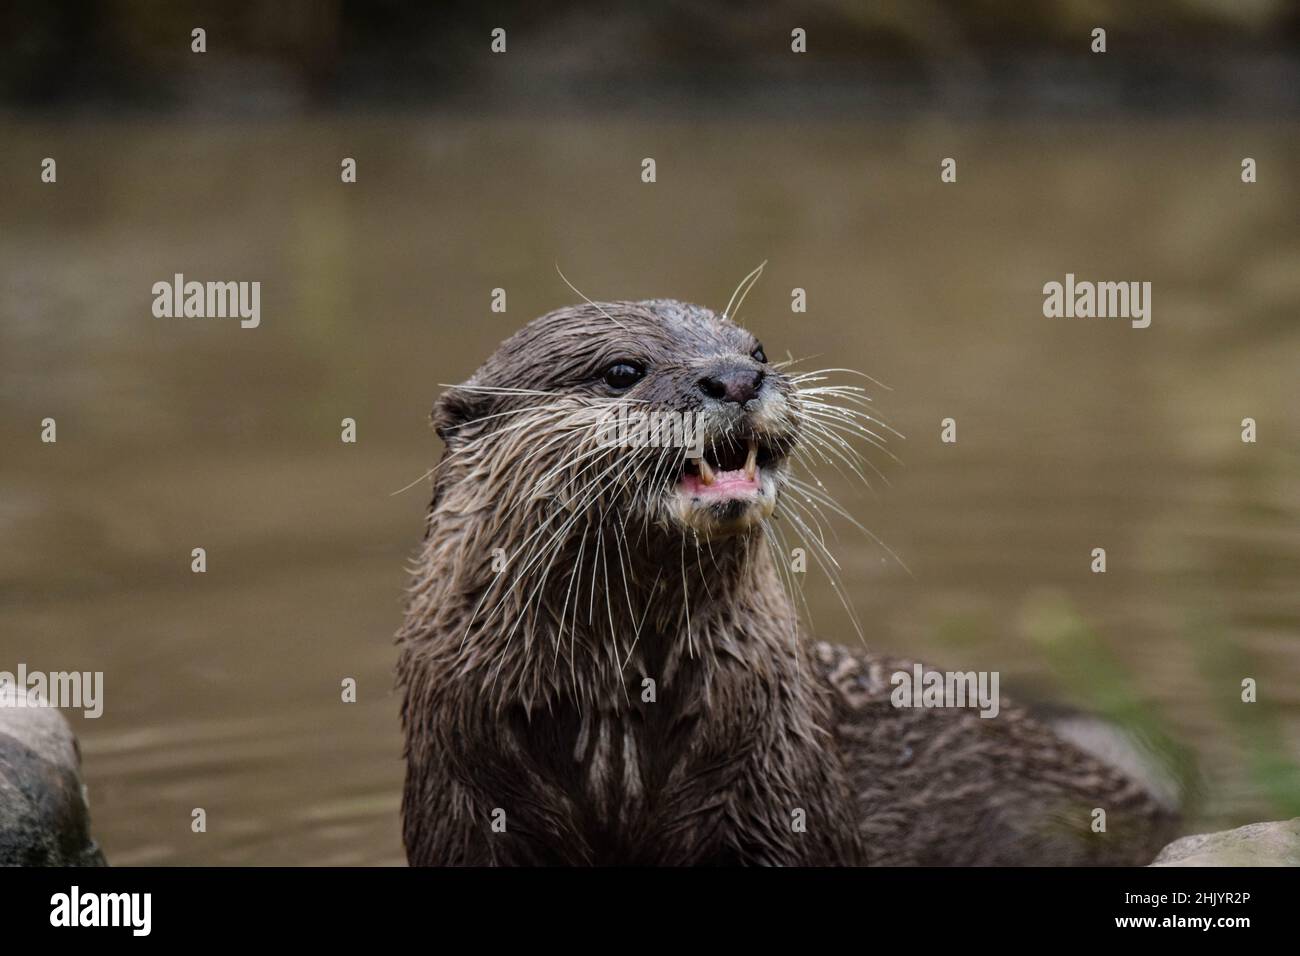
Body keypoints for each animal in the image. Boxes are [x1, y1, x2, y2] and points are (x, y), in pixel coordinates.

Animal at [395, 297, 1180, 868]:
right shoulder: (467, 800)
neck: (616, 721)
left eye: (756, 350)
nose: (736, 379)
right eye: (622, 371)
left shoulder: (772, 787)